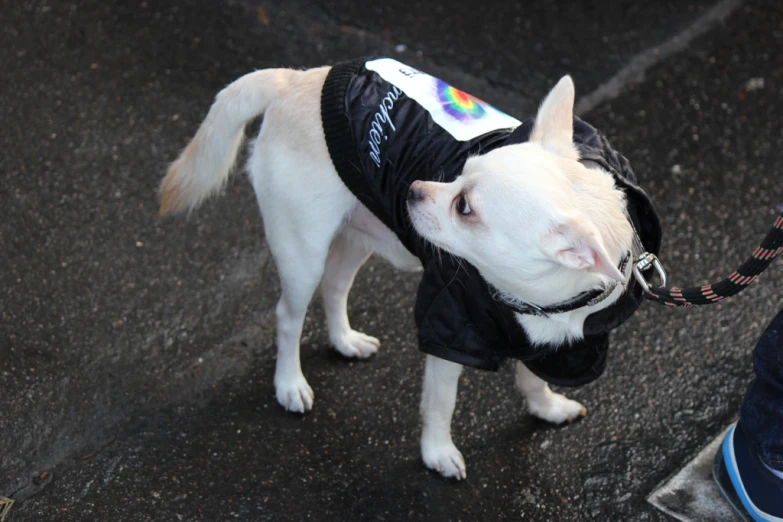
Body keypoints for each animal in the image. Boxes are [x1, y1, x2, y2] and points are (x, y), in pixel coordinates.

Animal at [158, 59, 636, 478]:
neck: (533, 298)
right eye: (459, 172)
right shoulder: (448, 334)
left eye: (464, 207)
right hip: (302, 252)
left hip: (357, 235)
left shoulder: (556, 345)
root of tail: (294, 80)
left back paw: (344, 341)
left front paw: (547, 408)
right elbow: (441, 404)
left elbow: (532, 377)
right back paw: (289, 383)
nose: (412, 189)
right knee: (288, 316)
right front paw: (437, 454)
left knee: (335, 286)